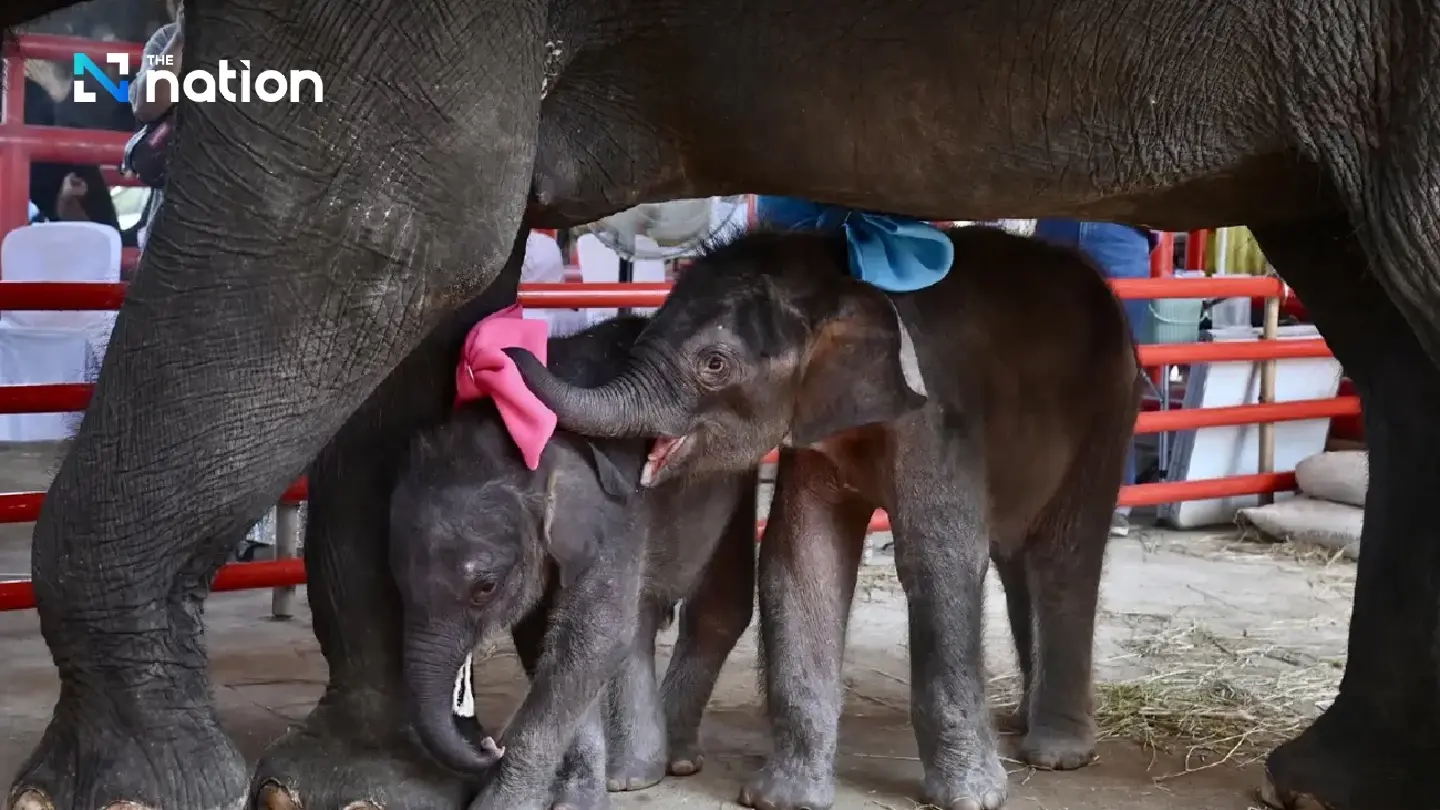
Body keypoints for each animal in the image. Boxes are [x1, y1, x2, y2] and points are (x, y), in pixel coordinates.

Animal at [388, 314, 758, 810]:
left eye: (484, 587)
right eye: (397, 582)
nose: (487, 745)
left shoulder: (615, 514)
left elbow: (591, 638)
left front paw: (500, 804)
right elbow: (547, 637)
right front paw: (571, 796)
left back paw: (672, 764)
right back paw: (632, 775)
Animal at [510, 224, 1142, 809]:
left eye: (714, 363)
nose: (513, 349)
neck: (837, 272)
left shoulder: (936, 415)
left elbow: (941, 559)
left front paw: (970, 800)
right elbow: (802, 558)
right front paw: (782, 800)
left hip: (1110, 404)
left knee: (1064, 555)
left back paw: (1056, 754)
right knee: (1019, 559)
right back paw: (1020, 723)